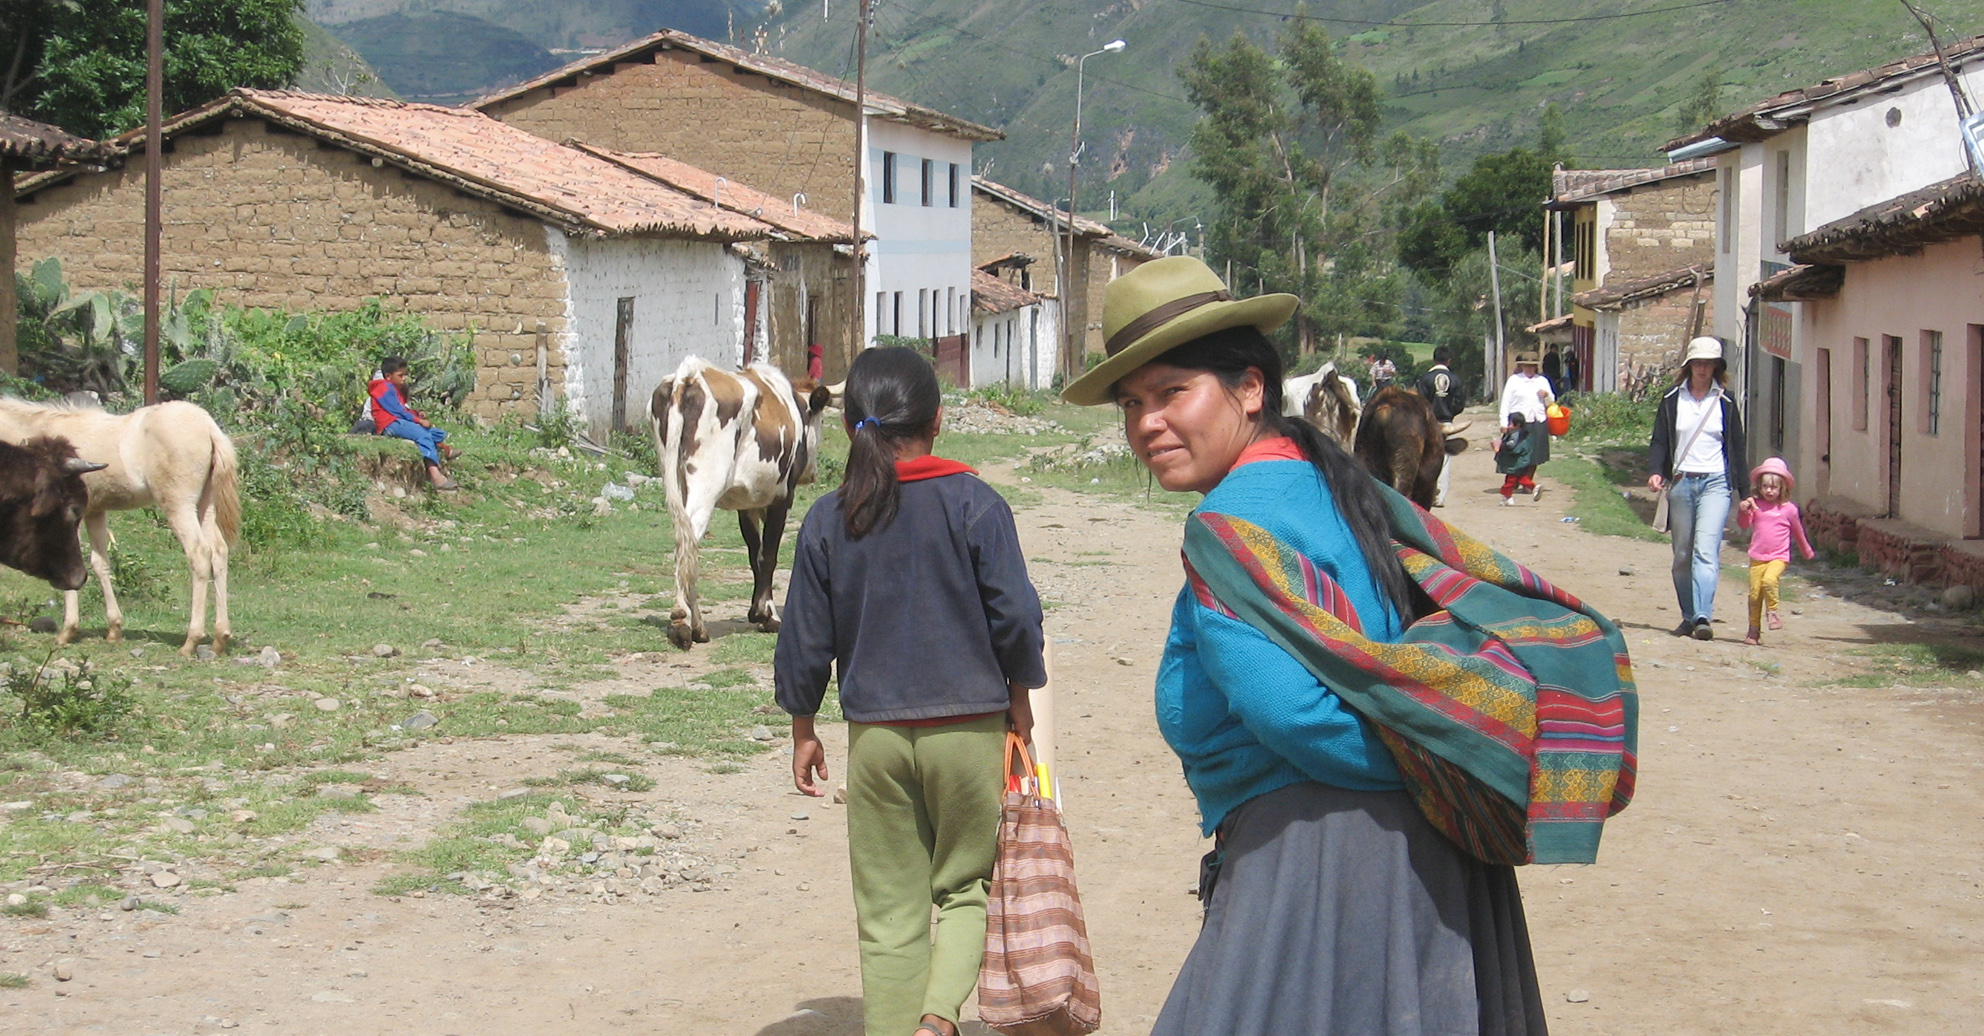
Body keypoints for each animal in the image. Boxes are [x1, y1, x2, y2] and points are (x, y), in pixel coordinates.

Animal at [650, 355, 829, 643]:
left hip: (675, 478)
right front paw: (768, 616)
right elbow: (768, 554)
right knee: (690, 538)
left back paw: (694, 623)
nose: (812, 473)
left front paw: (756, 611)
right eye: (821, 422)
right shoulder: (782, 497)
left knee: (684, 539)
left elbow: (754, 553)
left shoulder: (747, 504)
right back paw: (684, 622)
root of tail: (690, 373)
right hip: (705, 482)